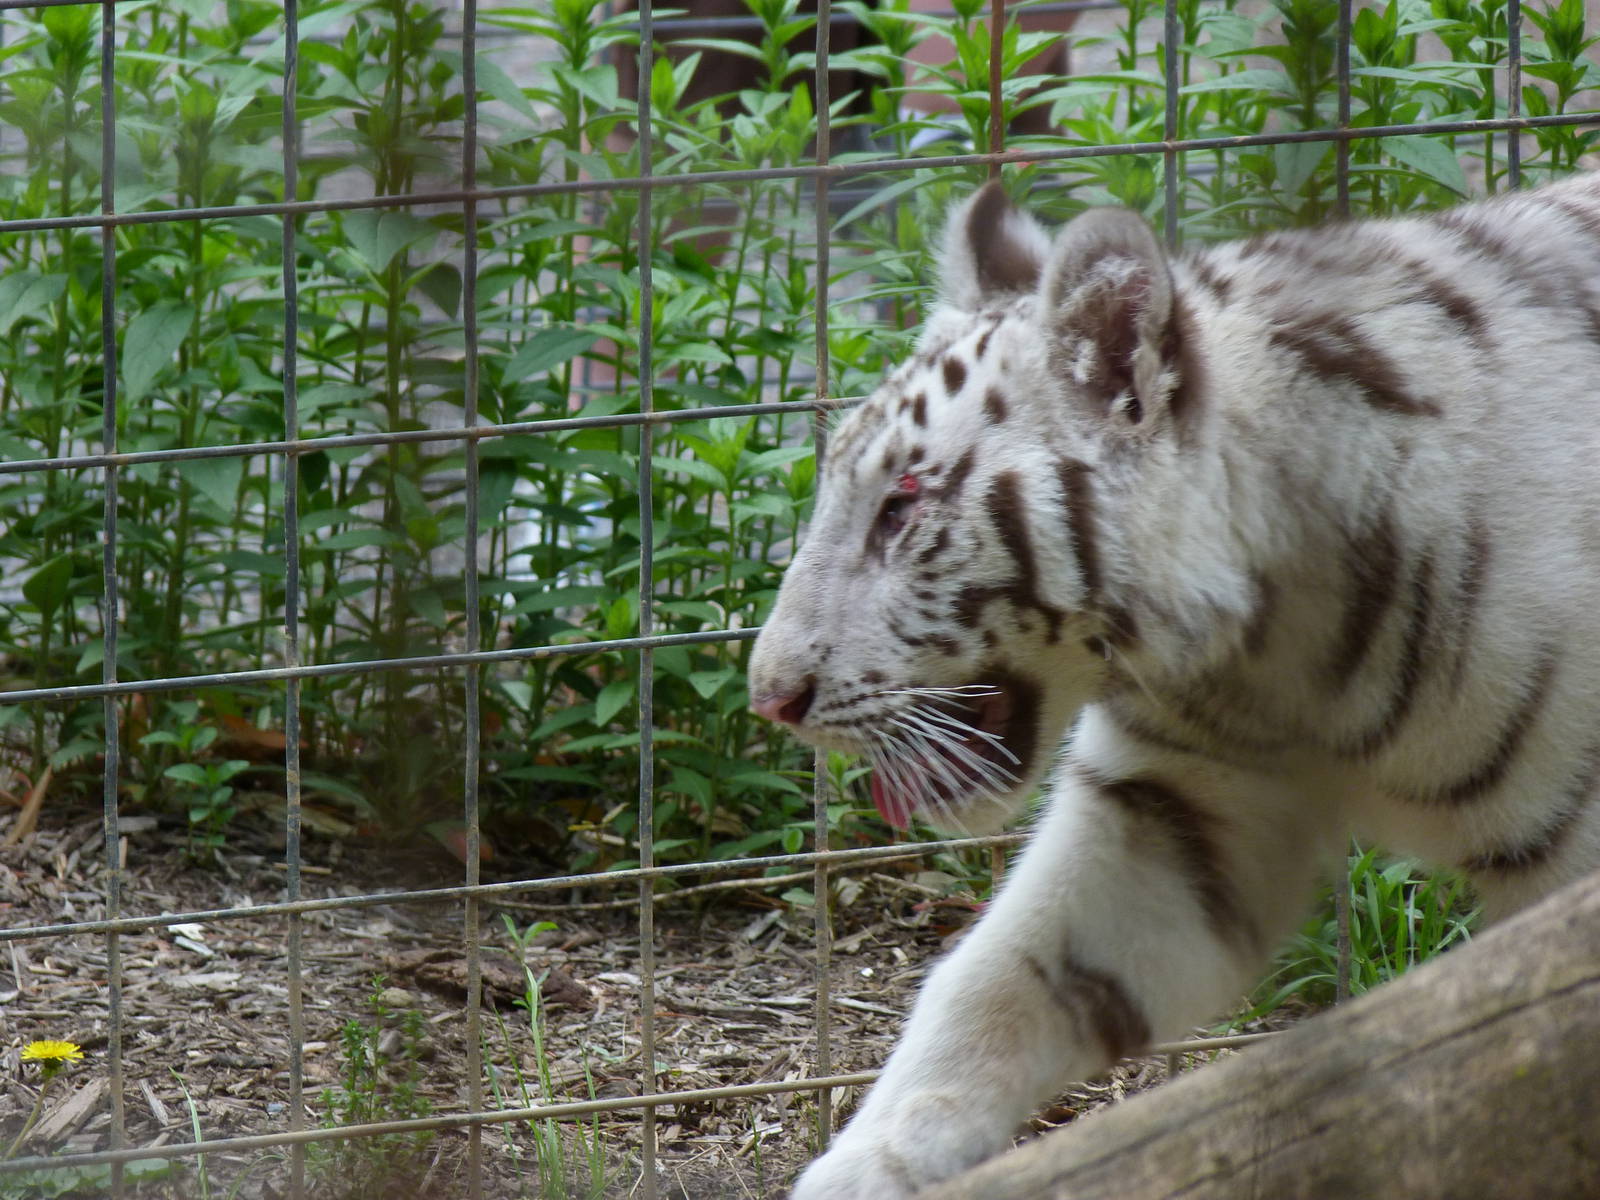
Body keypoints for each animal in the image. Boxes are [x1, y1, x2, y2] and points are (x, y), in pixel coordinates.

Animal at [747, 172, 1600, 1198]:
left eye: (903, 505)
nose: (769, 696)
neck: (1275, 658)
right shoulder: (1169, 812)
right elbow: (993, 981)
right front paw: (865, 1167)